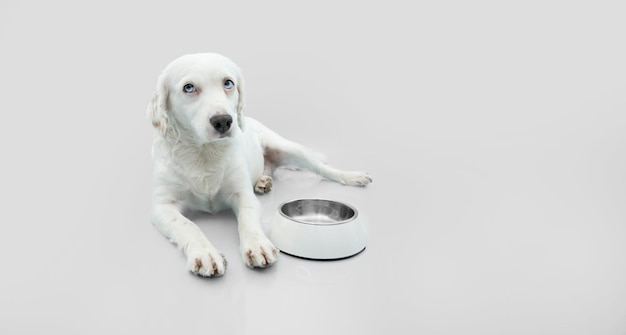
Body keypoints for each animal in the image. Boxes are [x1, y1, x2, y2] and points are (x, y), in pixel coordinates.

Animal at [146, 53, 370, 278]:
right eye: (189, 87)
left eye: (228, 83)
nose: (223, 121)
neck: (204, 153)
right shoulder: (162, 206)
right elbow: (187, 225)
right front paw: (205, 253)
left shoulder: (243, 195)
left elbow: (247, 220)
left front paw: (257, 246)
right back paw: (263, 181)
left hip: (289, 149)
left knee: (323, 168)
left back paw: (351, 176)